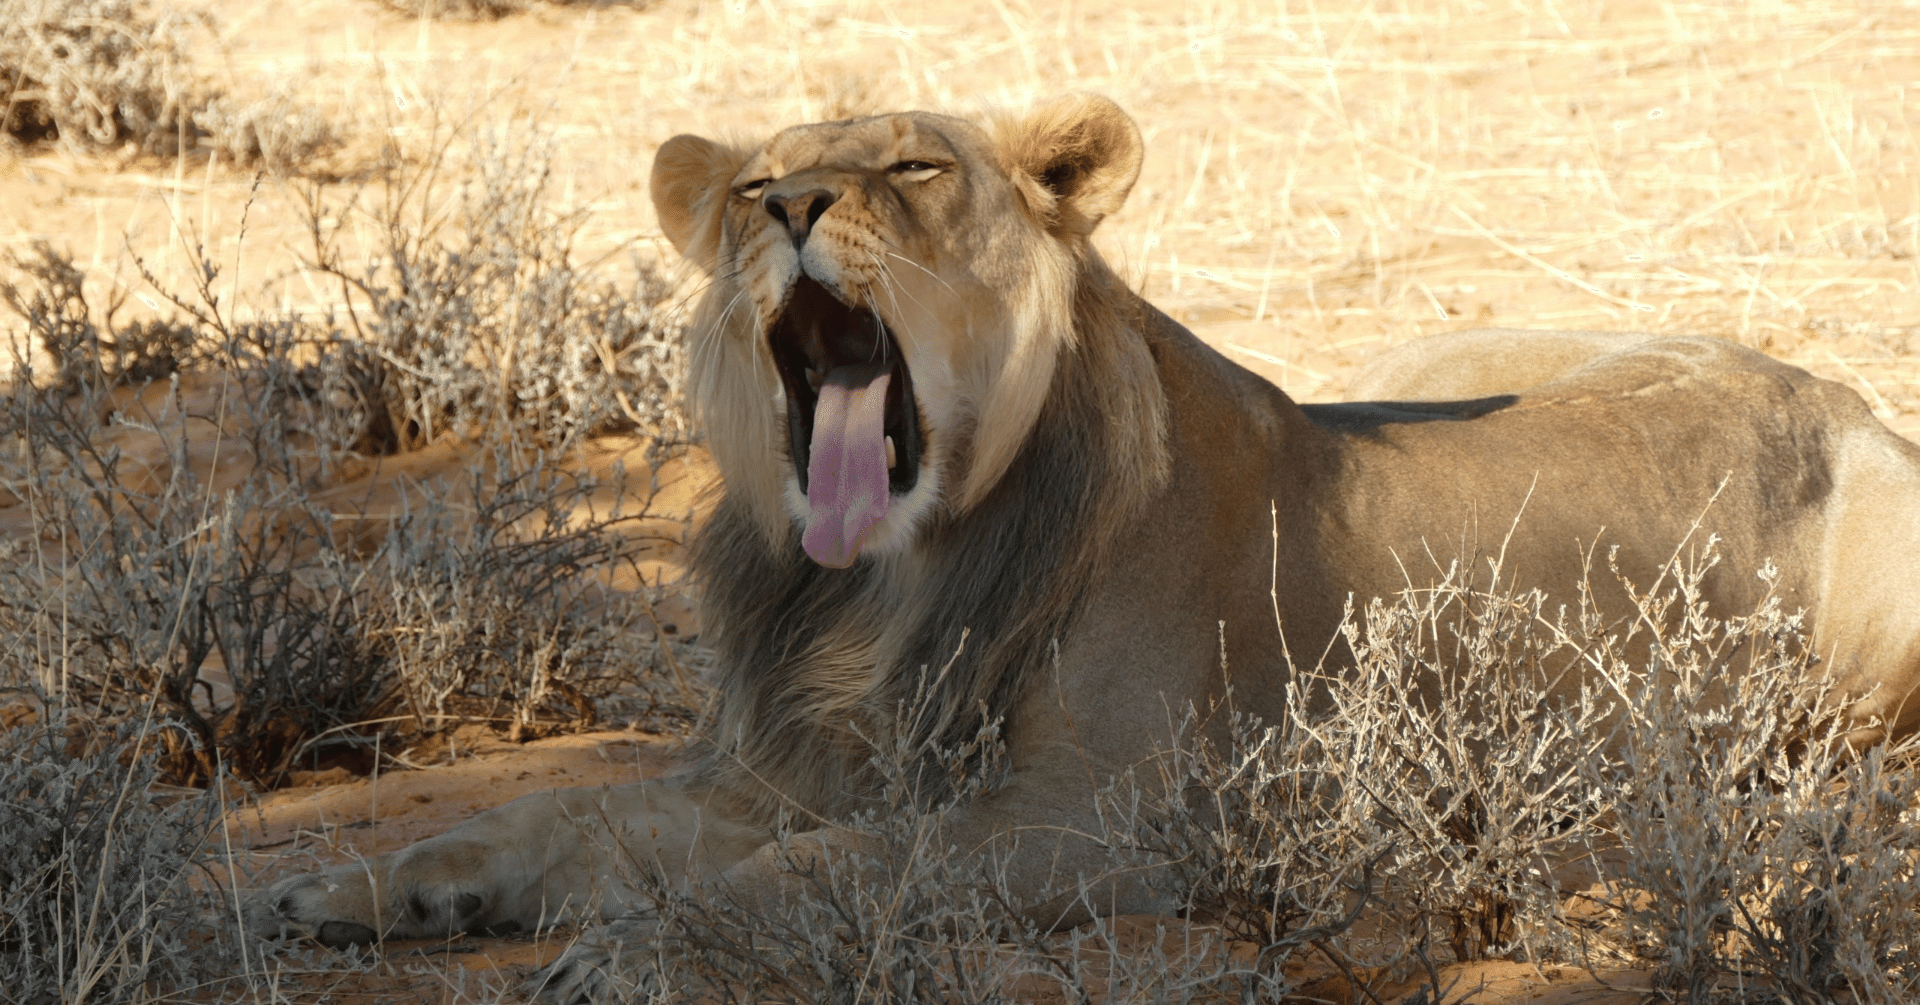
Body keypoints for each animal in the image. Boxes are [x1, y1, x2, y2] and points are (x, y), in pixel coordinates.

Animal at [247, 92, 1920, 999]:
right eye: (749, 184)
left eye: (915, 169)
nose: (789, 206)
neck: (888, 585)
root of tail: (1839, 390)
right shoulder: (775, 765)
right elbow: (561, 821)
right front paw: (354, 889)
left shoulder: (1098, 825)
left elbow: (821, 869)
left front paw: (635, 955)